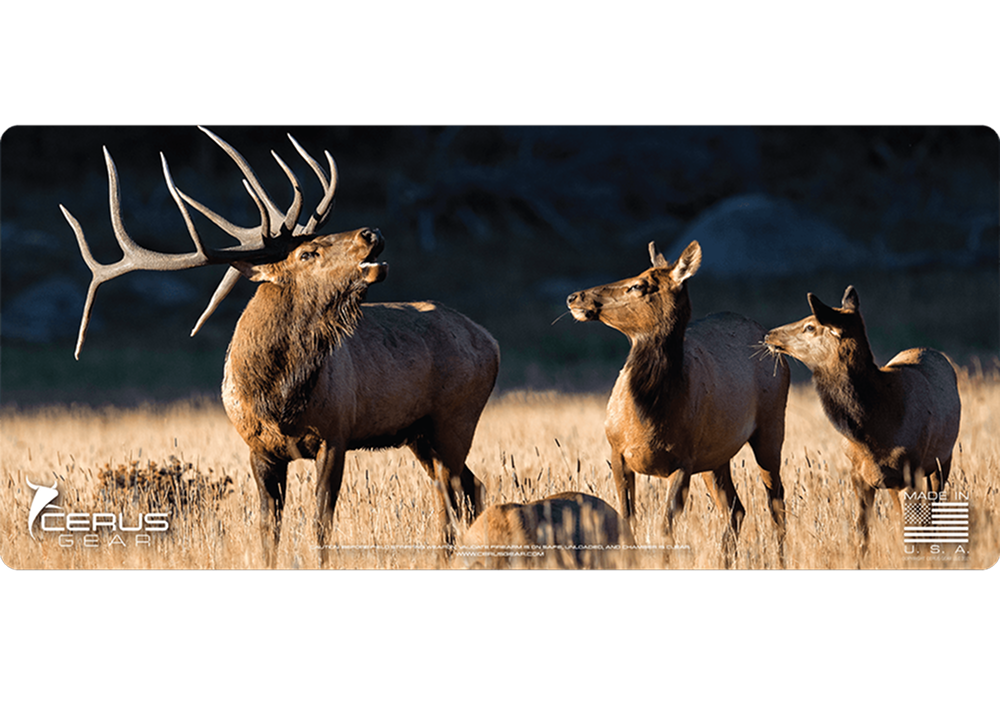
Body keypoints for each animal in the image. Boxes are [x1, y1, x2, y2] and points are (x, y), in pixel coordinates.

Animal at [62, 126, 500, 567]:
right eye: (309, 251)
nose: (371, 232)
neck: (277, 397)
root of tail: (491, 339)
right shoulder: (258, 448)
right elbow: (267, 529)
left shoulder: (336, 435)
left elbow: (320, 526)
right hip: (421, 433)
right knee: (468, 489)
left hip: (456, 417)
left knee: (453, 495)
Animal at [566, 240, 790, 564]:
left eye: (639, 285)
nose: (574, 296)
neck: (649, 416)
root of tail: (768, 338)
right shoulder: (617, 451)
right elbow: (628, 520)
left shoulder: (683, 460)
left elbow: (665, 529)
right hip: (715, 456)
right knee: (736, 509)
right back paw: (724, 560)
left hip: (771, 426)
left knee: (776, 501)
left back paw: (781, 557)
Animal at [764, 285, 961, 554]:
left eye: (810, 326)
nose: (769, 334)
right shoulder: (859, 474)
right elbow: (862, 533)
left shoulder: (912, 470)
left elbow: (914, 531)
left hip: (942, 461)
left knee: (933, 513)